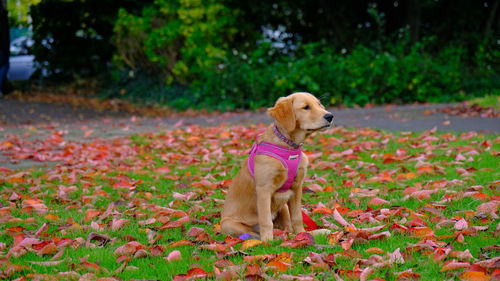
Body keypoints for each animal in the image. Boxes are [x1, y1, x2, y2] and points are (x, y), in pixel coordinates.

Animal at [222, 92, 332, 241]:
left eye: (319, 105)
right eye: (306, 107)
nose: (330, 116)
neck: (289, 147)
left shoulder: (296, 187)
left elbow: (297, 217)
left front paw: (303, 234)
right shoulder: (264, 189)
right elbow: (266, 220)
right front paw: (268, 241)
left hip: (284, 206)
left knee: (288, 229)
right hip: (230, 224)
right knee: (253, 234)